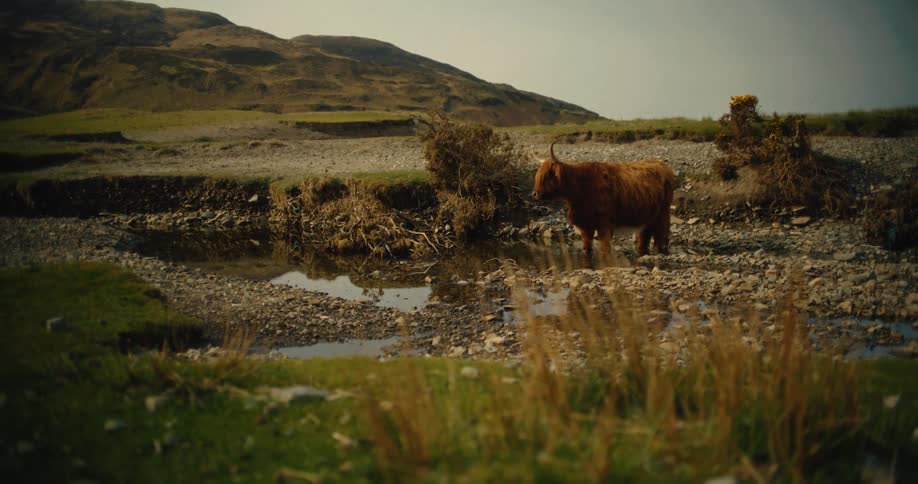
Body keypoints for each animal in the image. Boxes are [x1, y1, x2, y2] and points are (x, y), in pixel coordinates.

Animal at [531, 141, 676, 257]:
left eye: (547, 176)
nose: (534, 194)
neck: (582, 186)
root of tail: (662, 165)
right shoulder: (585, 224)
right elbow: (586, 246)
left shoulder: (605, 223)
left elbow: (604, 248)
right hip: (647, 217)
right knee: (645, 237)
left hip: (663, 214)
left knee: (661, 236)